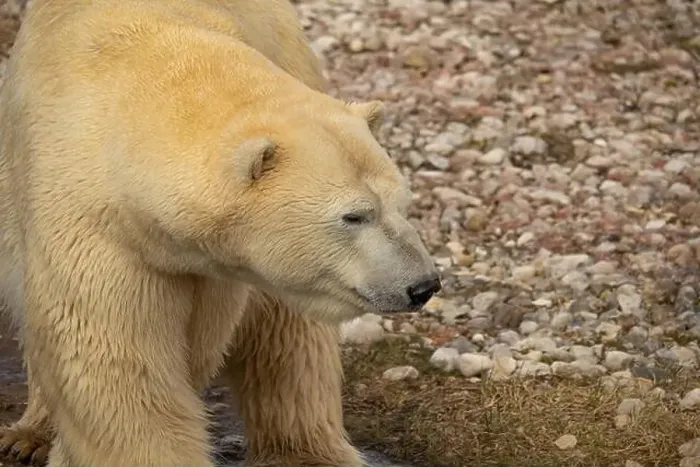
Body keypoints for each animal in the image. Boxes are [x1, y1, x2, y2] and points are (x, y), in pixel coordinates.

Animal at [0, 0, 441, 466]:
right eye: (354, 216)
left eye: (404, 203)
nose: (423, 285)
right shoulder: (96, 226)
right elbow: (113, 358)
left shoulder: (214, 268)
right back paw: (28, 435)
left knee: (291, 338)